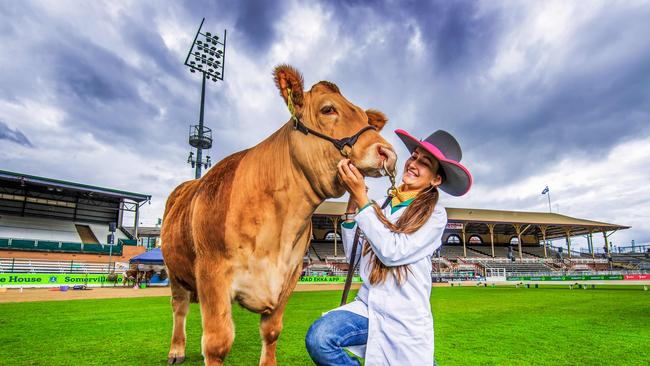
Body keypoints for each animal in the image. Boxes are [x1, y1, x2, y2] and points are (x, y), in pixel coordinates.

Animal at [161, 66, 394, 366]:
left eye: (367, 119)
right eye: (328, 109)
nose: (387, 151)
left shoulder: (290, 274)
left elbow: (271, 331)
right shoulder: (211, 271)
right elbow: (217, 343)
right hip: (174, 270)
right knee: (178, 307)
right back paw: (176, 350)